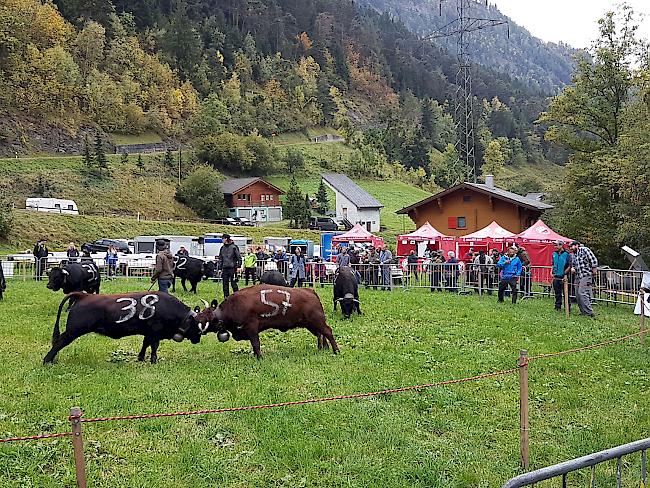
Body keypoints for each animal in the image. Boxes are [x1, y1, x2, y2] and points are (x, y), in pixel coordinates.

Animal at [42, 292, 204, 364]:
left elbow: (145, 344)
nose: (198, 339)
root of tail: (83, 295)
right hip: (73, 331)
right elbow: (154, 346)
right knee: (59, 342)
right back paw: (47, 360)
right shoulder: (155, 332)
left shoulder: (148, 332)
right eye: (196, 325)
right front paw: (154, 361)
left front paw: (140, 358)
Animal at [194, 284, 340, 360]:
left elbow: (256, 344)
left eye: (207, 318)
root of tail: (310, 290)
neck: (234, 306)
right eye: (200, 313)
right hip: (311, 323)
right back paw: (322, 347)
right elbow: (253, 345)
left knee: (328, 331)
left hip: (317, 320)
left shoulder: (252, 327)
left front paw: (259, 358)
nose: (195, 319)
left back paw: (336, 350)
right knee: (321, 334)